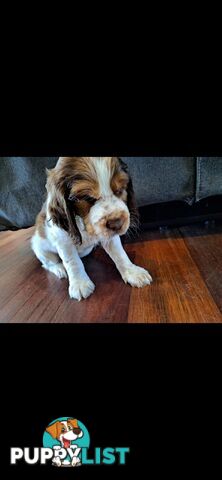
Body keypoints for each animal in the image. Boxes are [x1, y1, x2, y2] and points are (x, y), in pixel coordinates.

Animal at [31, 158, 153, 300]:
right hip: (41, 249)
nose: (117, 224)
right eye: (87, 197)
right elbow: (72, 262)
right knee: (47, 263)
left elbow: (120, 254)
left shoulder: (109, 237)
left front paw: (133, 272)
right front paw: (79, 284)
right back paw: (59, 269)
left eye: (119, 190)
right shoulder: (63, 240)